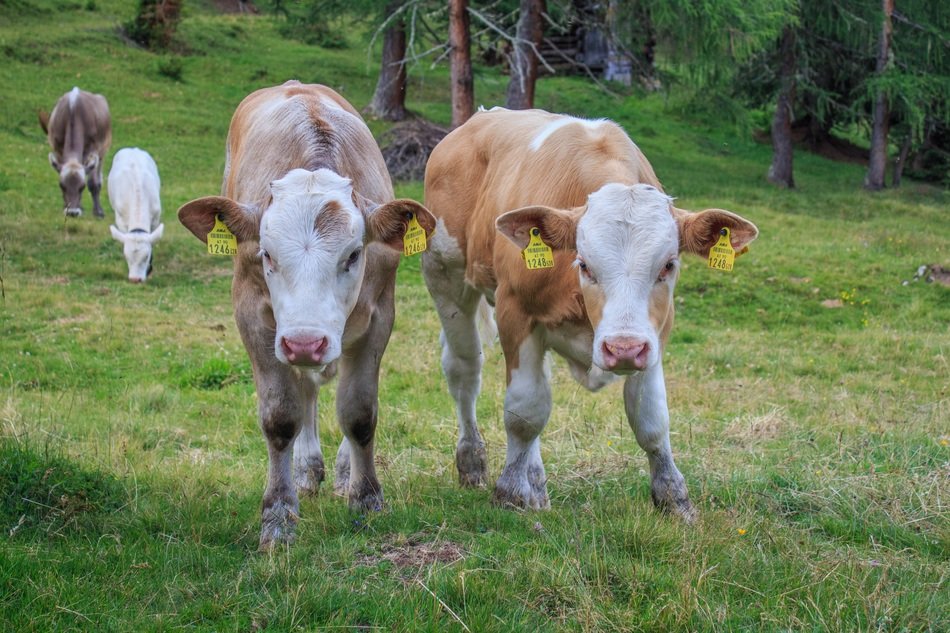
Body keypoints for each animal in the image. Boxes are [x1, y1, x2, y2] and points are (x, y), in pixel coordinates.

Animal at [38, 87, 112, 218]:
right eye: (62, 185)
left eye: (82, 186)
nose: (72, 212)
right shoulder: (58, 149)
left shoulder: (93, 150)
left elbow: (93, 183)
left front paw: (98, 212)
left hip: (102, 152)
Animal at [108, 148, 164, 283]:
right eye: (126, 256)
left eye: (146, 256)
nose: (135, 279)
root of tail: (133, 148)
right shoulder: (121, 220)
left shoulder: (155, 217)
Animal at [177, 81, 435, 548]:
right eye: (266, 254)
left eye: (354, 255)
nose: (304, 342)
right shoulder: (255, 320)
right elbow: (281, 416)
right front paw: (278, 515)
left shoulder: (378, 318)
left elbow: (359, 412)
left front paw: (366, 499)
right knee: (307, 389)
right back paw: (306, 469)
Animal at [421, 107, 759, 521]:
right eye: (584, 264)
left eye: (668, 265)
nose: (623, 348)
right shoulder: (516, 313)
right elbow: (524, 412)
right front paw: (510, 492)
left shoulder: (655, 335)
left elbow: (651, 419)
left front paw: (673, 497)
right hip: (445, 277)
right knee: (464, 370)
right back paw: (473, 460)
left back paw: (535, 480)